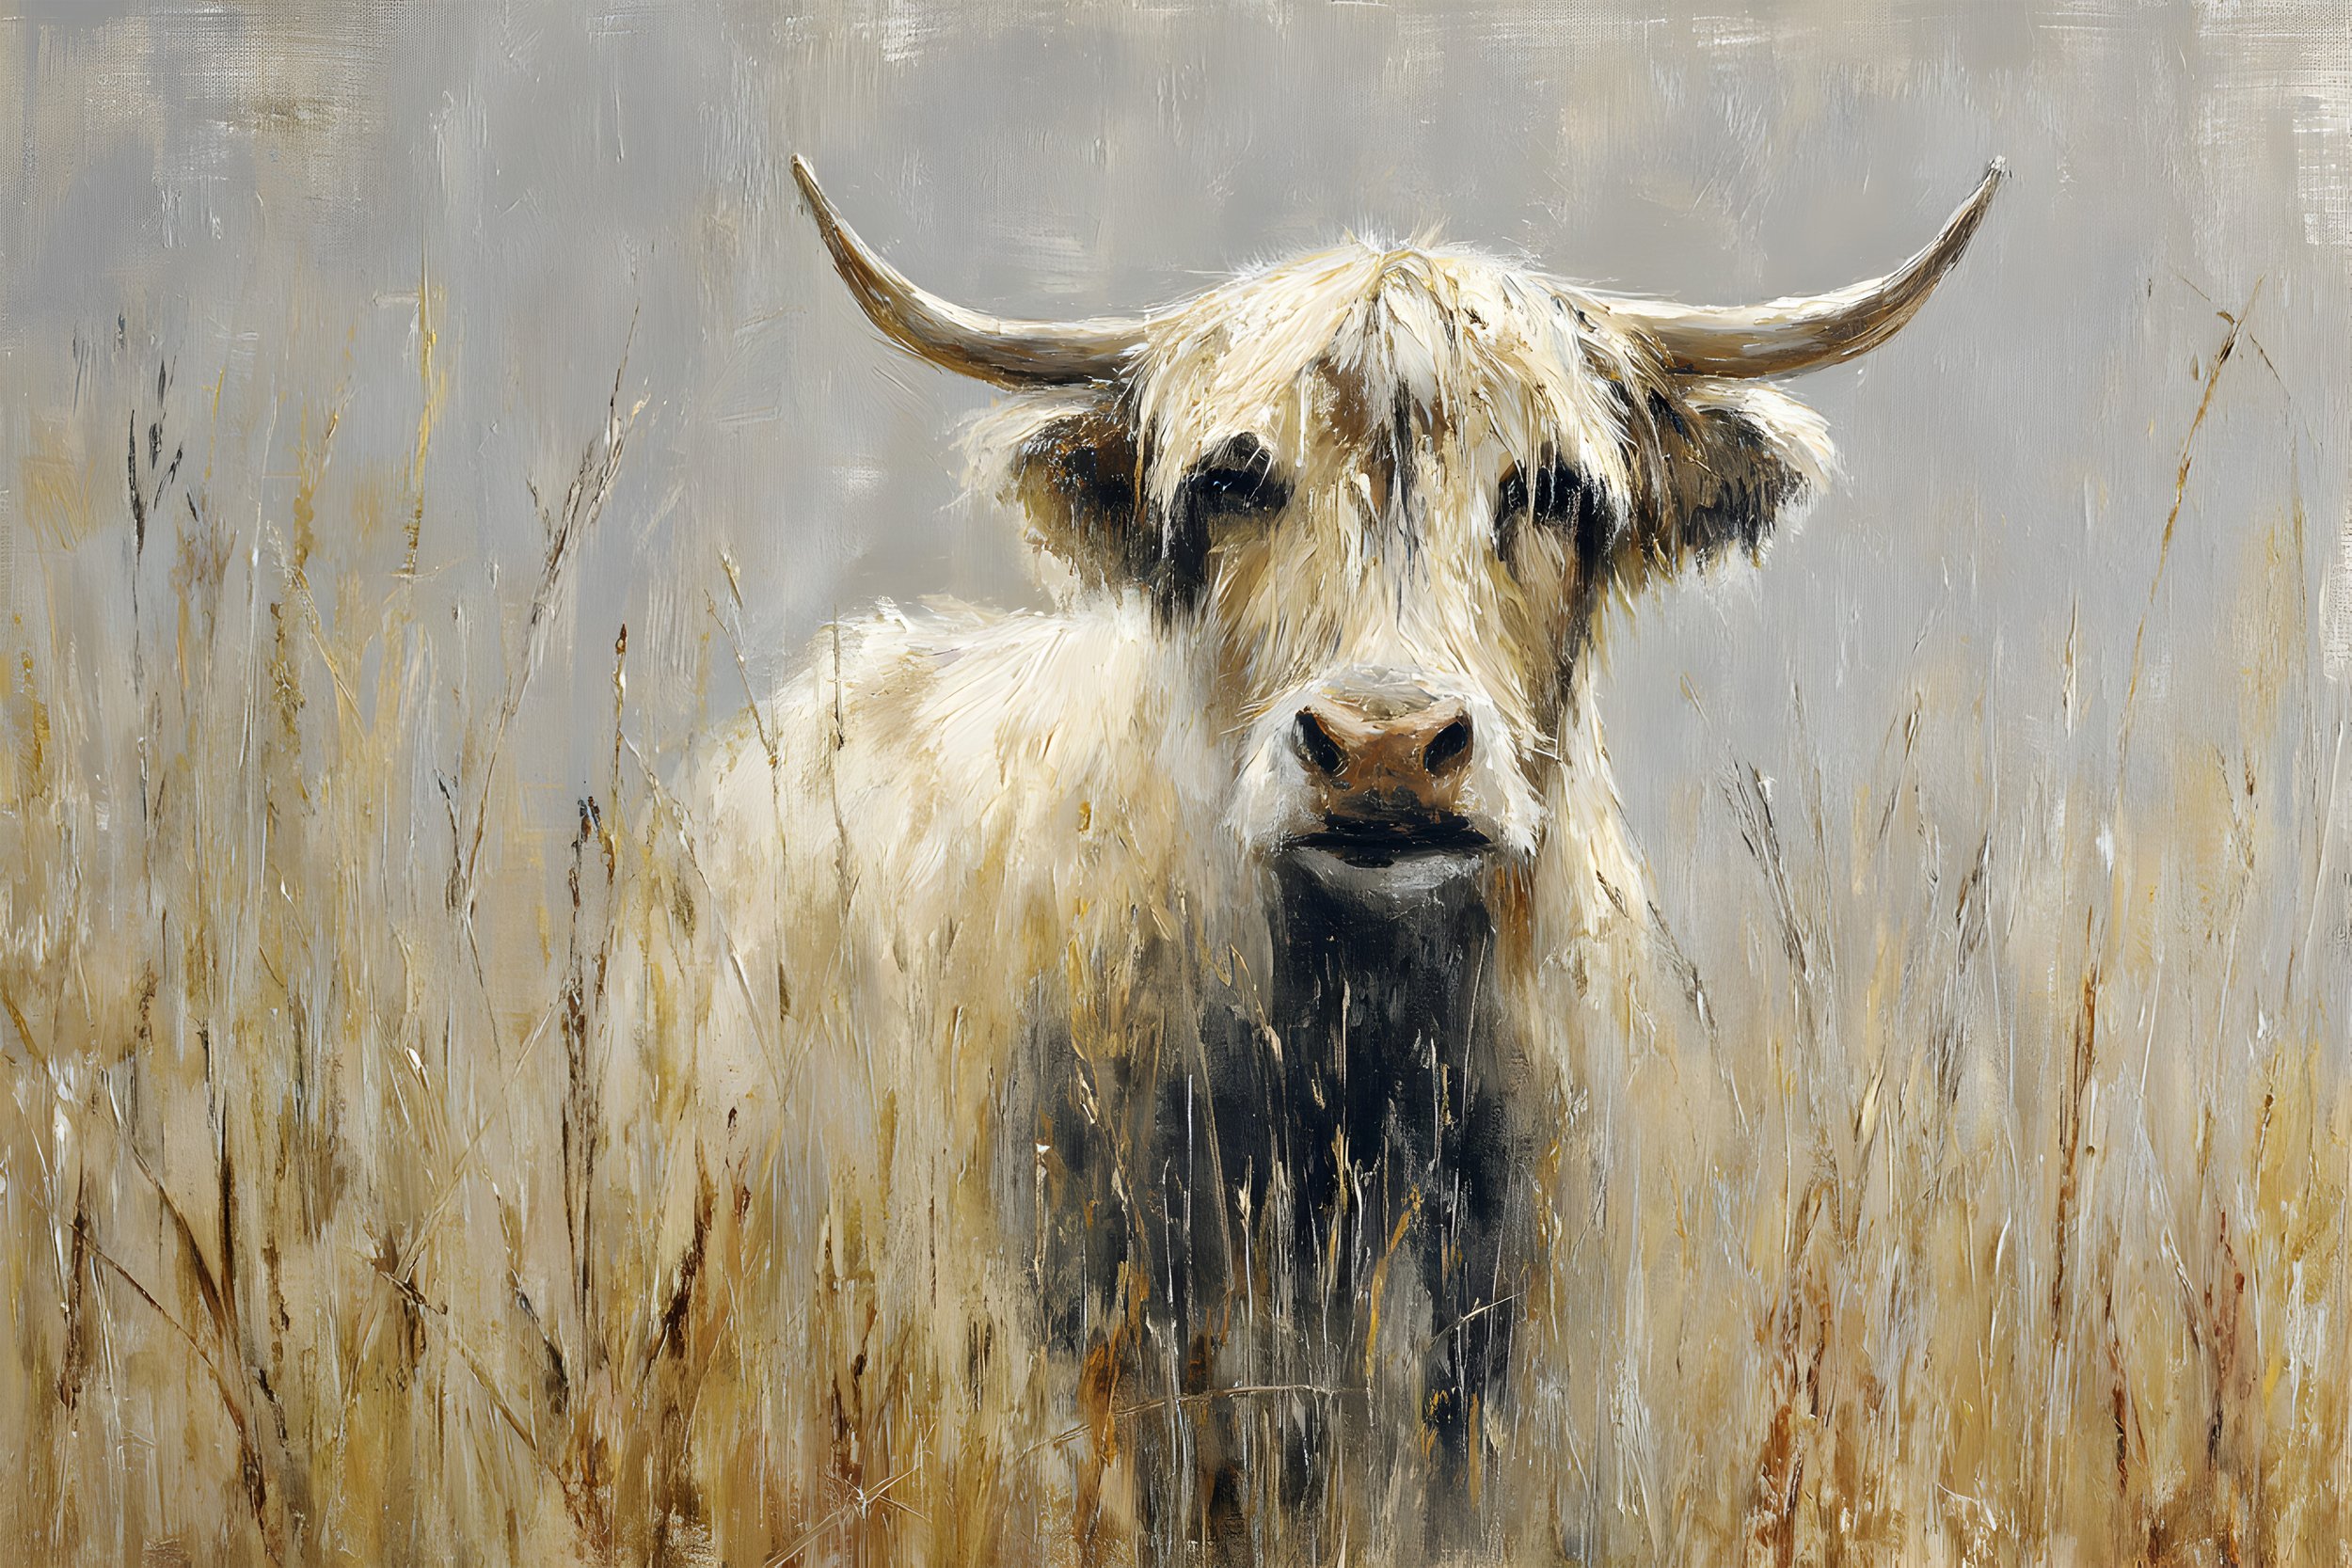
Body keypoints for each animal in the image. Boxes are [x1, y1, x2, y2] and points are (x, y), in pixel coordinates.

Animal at [614, 158, 2001, 1562]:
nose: (1384, 745)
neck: (1351, 1042)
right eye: (1233, 478)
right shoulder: (1098, 1325)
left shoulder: (1510, 1319)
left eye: (1554, 488)